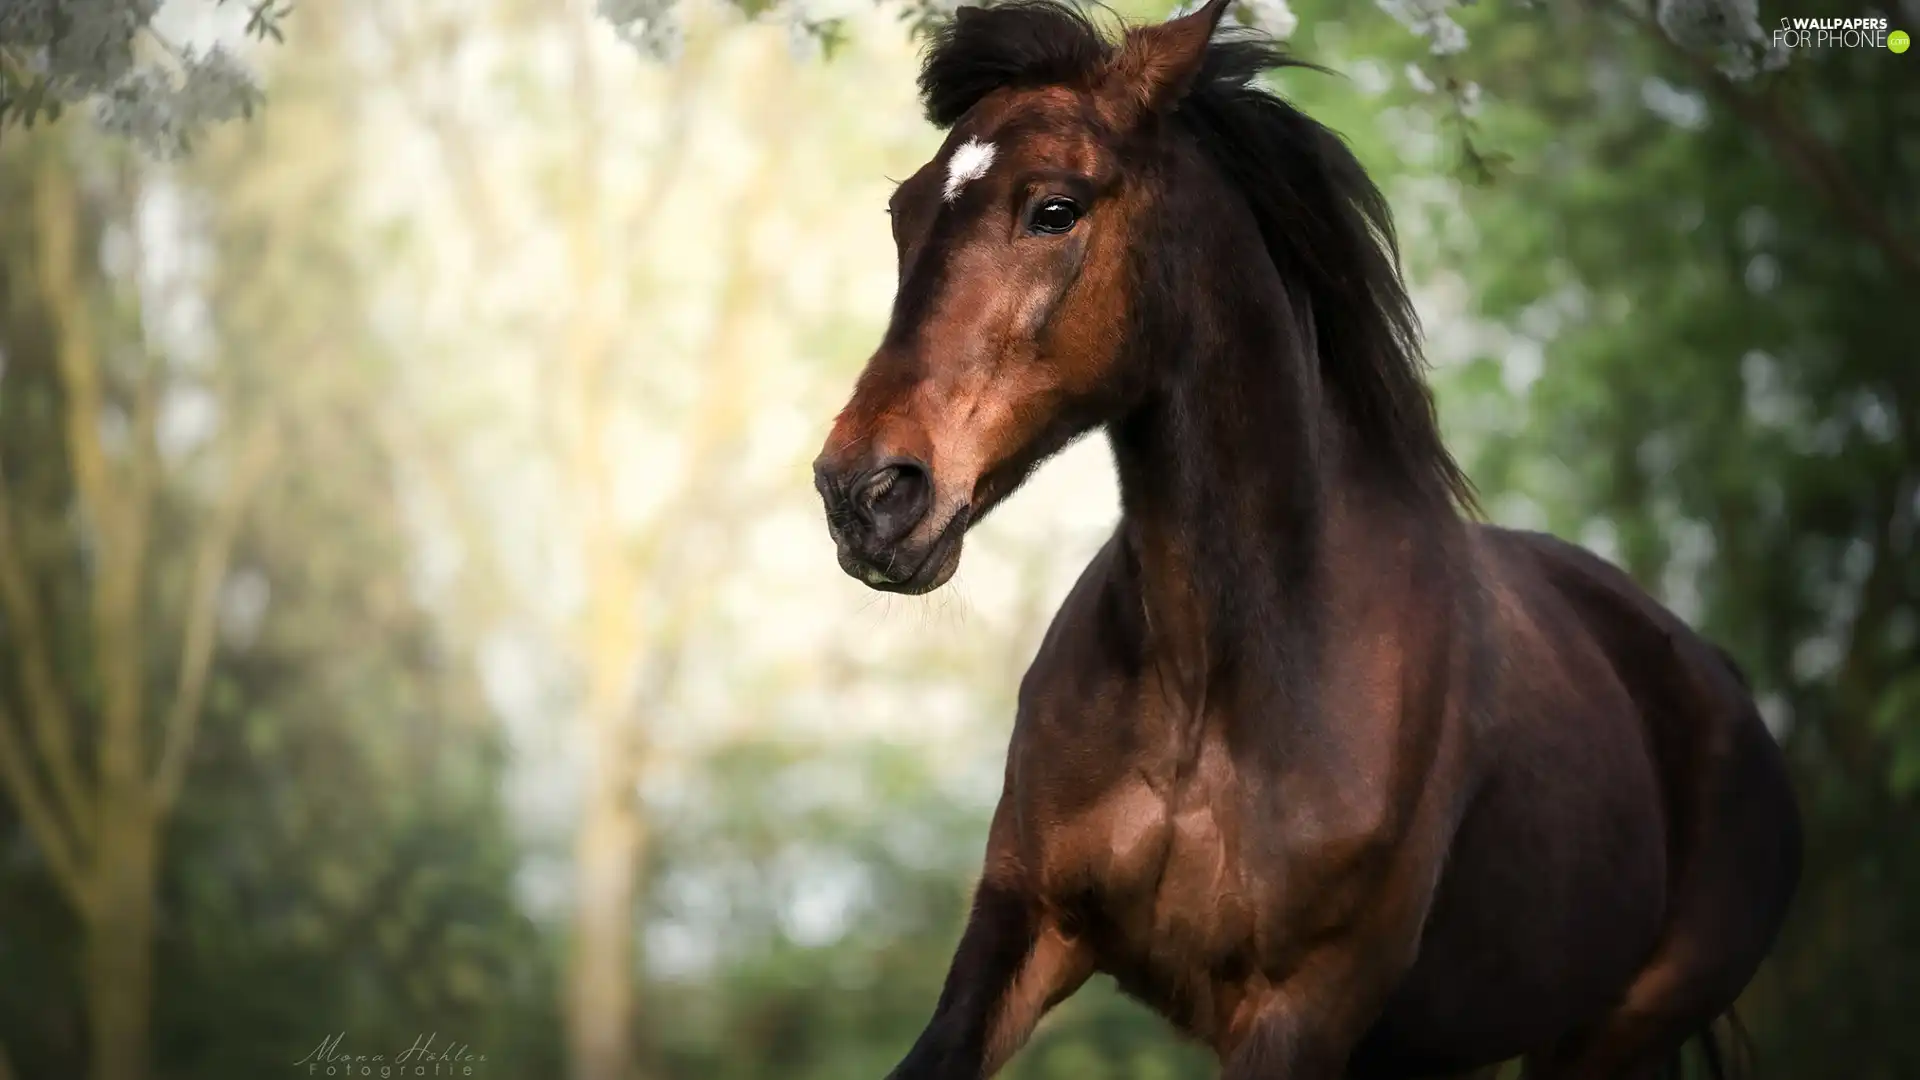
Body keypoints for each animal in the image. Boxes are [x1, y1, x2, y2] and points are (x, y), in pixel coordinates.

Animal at [810, 4, 1797, 1068]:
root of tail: (1722, 682)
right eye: (905, 213)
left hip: (1603, 1041)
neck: (1217, 681)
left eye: (1055, 208)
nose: (865, 493)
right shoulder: (1023, 926)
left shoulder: (1302, 1010)